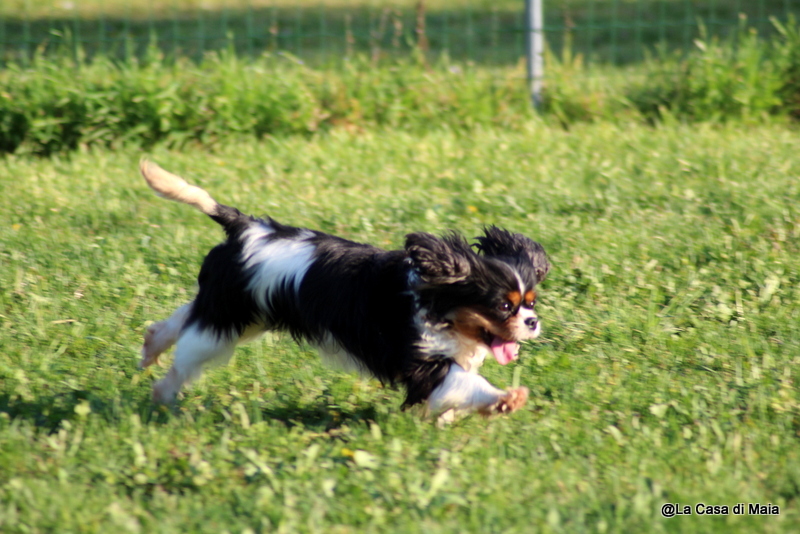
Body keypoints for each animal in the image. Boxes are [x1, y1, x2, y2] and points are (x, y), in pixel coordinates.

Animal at [139, 160, 550, 421]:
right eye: (504, 307)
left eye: (531, 303)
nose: (532, 322)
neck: (436, 304)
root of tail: (246, 227)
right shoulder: (423, 363)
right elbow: (466, 383)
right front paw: (505, 398)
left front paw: (450, 419)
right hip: (225, 324)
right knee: (186, 358)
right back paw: (163, 396)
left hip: (242, 312)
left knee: (183, 319)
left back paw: (151, 346)